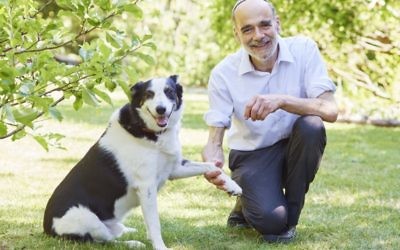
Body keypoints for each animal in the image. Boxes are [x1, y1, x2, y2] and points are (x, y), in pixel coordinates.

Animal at [44, 75, 244, 249]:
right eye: (149, 94)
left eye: (169, 91)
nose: (161, 109)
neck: (151, 131)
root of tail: (46, 228)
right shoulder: (146, 186)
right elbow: (155, 224)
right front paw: (160, 247)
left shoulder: (174, 168)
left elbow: (210, 166)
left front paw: (231, 185)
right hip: (85, 218)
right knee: (103, 241)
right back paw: (132, 243)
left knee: (112, 233)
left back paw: (127, 231)